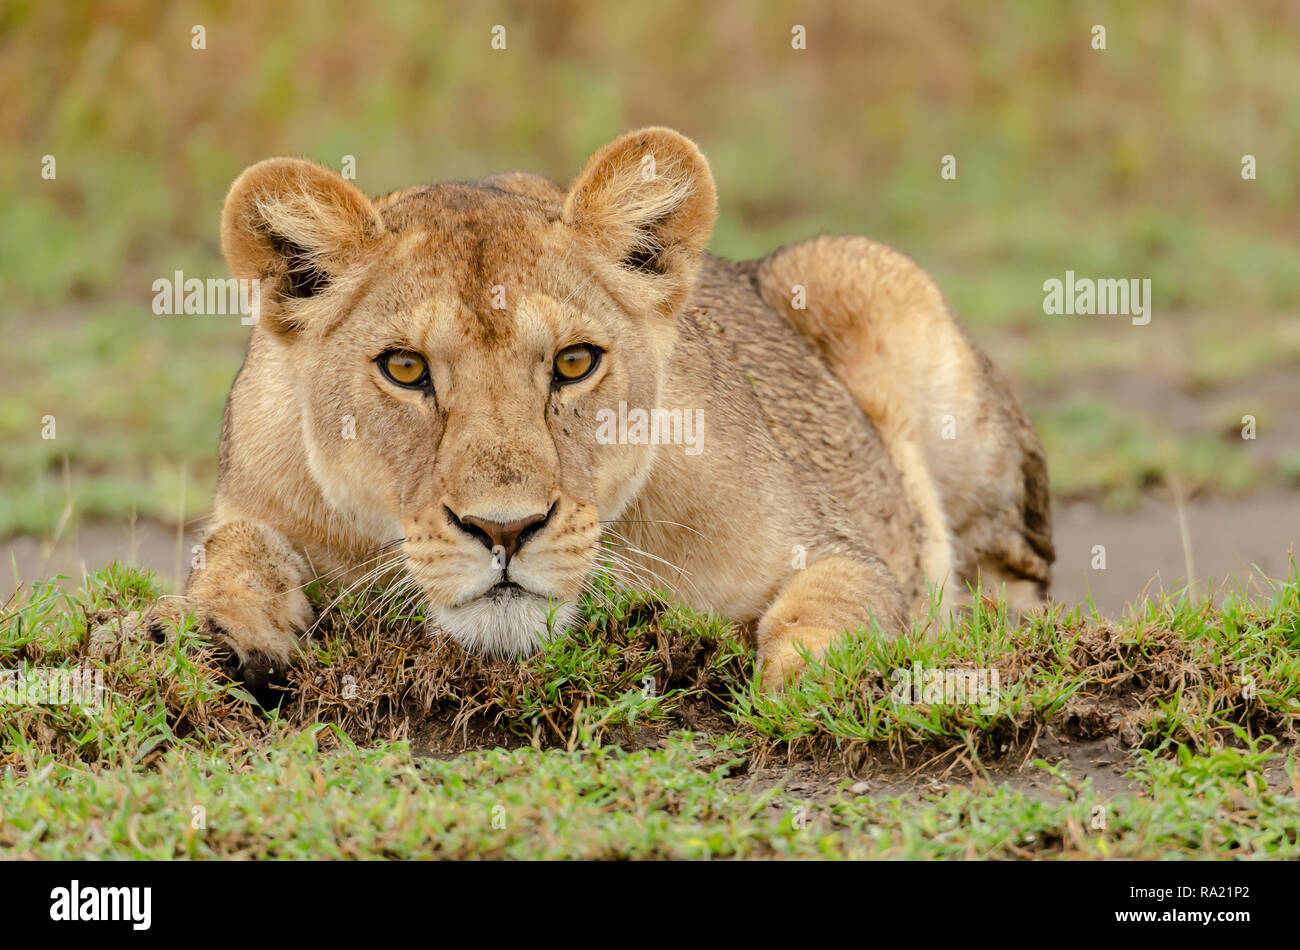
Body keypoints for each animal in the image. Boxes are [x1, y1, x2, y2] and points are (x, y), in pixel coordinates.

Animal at [144, 127, 1053, 692]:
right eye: (404, 369)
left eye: (575, 363)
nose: (505, 530)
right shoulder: (256, 496)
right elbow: (232, 550)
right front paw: (212, 628)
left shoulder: (831, 540)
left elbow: (845, 599)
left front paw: (814, 677)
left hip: (865, 278)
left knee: (1013, 581)